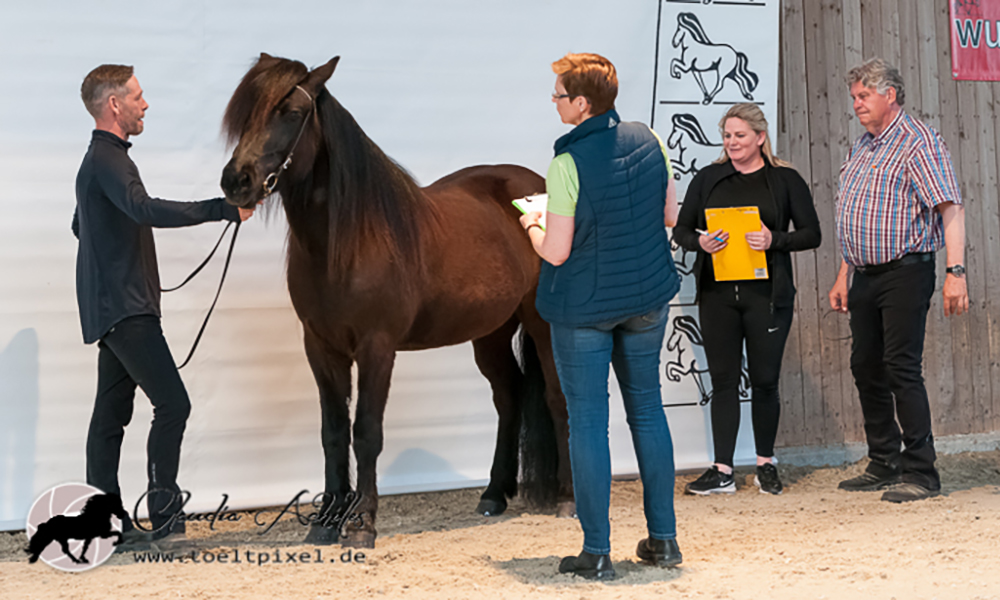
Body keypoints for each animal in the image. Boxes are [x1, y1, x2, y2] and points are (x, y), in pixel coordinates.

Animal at [223, 54, 576, 548]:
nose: (236, 181)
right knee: (508, 397)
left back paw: (567, 498)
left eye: (291, 113)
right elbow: (334, 432)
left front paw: (362, 524)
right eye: (244, 116)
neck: (349, 241)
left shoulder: (377, 346)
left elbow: (367, 431)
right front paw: (325, 521)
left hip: (541, 324)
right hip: (490, 332)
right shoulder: (321, 347)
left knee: (556, 396)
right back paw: (492, 494)